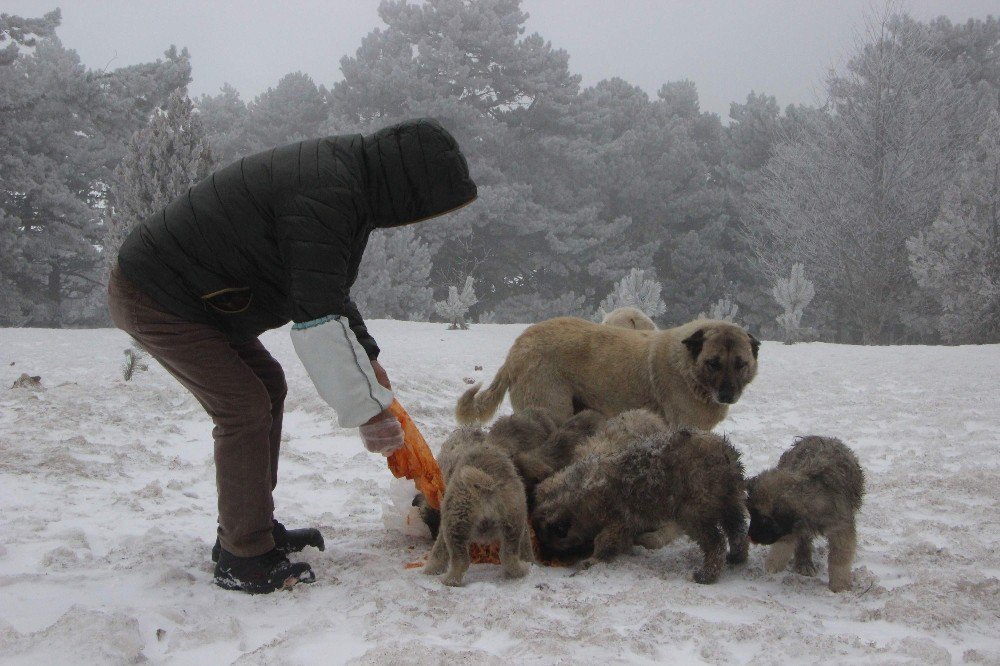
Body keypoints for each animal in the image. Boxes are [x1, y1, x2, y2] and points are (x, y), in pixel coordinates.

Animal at [420, 428, 532, 584]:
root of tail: (487, 485)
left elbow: (438, 550)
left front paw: (431, 570)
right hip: (513, 521)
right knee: (509, 557)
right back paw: (522, 569)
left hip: (455, 523)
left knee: (460, 561)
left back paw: (448, 580)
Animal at [458, 314, 760, 428]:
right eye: (713, 363)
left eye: (741, 364)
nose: (728, 395)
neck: (687, 366)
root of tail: (517, 348)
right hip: (552, 409)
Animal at [748, 436, 864, 592]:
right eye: (751, 514)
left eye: (765, 519)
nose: (750, 537)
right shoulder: (790, 527)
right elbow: (783, 546)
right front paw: (772, 566)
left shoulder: (841, 527)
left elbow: (840, 558)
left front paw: (840, 586)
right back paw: (804, 563)